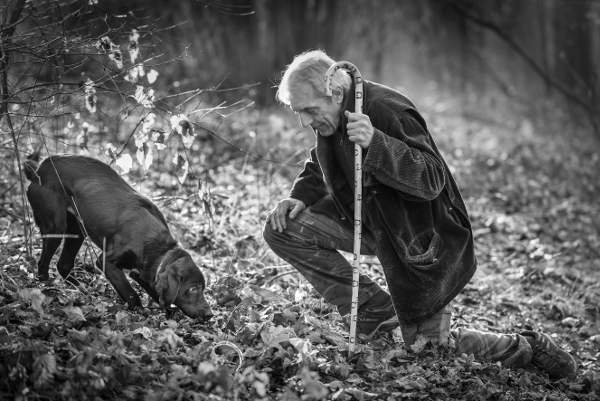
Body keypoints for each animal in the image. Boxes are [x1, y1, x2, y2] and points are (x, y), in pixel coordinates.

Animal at [24, 152, 214, 320]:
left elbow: (154, 291)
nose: (209, 314)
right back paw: (48, 285)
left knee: (63, 264)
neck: (153, 242)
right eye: (192, 289)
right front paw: (139, 310)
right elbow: (130, 293)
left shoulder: (144, 273)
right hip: (56, 226)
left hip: (77, 229)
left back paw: (82, 289)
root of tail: (39, 171)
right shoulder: (106, 262)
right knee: (44, 264)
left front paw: (169, 311)